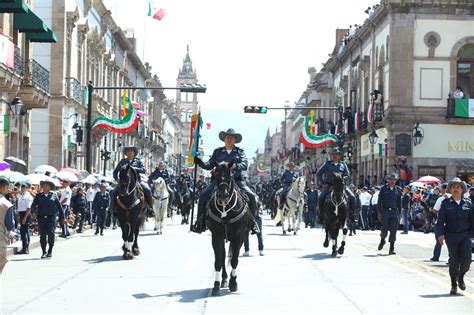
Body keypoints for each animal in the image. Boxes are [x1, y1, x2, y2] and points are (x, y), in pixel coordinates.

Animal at [206, 163, 252, 296]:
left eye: (230, 175)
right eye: (216, 175)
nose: (223, 195)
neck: (225, 210)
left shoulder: (238, 237)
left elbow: (234, 260)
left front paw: (233, 283)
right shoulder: (216, 236)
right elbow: (218, 260)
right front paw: (216, 285)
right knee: (222, 257)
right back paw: (224, 279)